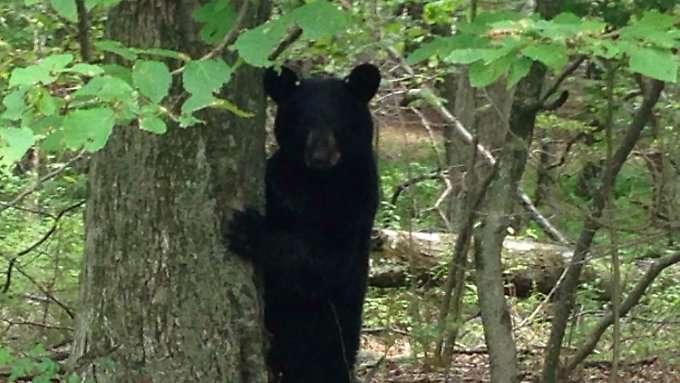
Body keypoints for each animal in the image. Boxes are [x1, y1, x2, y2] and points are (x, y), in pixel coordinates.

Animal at [227, 63, 378, 383]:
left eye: (338, 120)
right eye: (302, 121)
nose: (320, 156)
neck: (316, 182)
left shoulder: (356, 200)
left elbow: (324, 261)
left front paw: (249, 230)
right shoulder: (279, 179)